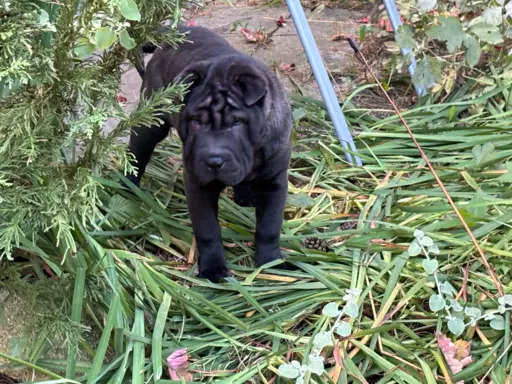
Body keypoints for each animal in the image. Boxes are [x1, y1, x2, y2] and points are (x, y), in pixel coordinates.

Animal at [126, 24, 290, 282]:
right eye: (195, 122)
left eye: (236, 123)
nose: (213, 160)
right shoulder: (198, 185)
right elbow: (208, 230)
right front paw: (214, 268)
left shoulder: (274, 181)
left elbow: (270, 225)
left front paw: (271, 262)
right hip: (152, 122)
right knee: (137, 153)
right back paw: (126, 185)